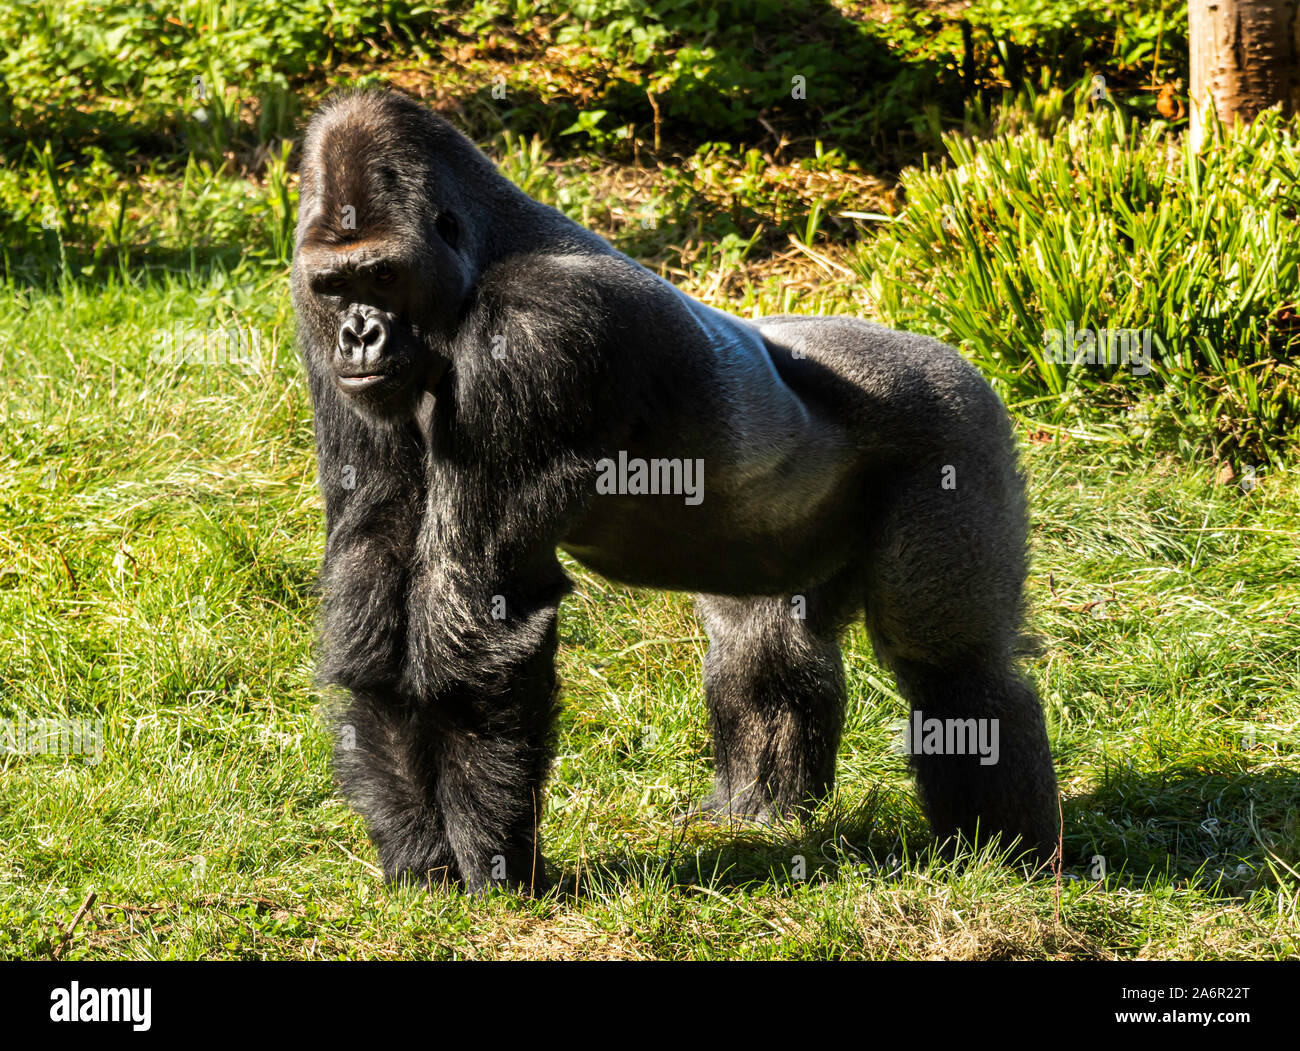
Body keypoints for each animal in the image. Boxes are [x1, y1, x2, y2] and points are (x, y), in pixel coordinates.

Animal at [292, 92, 1055, 894]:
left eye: (383, 277)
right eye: (337, 286)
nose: (359, 335)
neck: (482, 258)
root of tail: (958, 361)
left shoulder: (540, 326)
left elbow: (483, 612)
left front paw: (493, 861)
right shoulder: (316, 326)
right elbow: (376, 570)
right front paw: (422, 853)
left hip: (958, 427)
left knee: (952, 667)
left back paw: (1006, 853)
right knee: (765, 649)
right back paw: (759, 811)